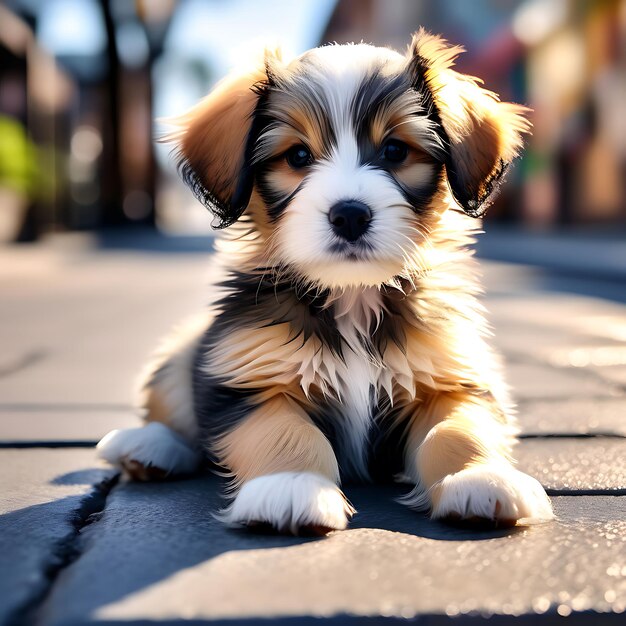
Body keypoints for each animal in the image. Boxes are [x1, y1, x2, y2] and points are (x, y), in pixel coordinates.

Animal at [97, 30, 552, 532]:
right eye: (297, 156)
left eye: (395, 151)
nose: (349, 215)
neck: (353, 300)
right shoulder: (252, 376)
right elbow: (284, 432)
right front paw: (291, 486)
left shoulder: (451, 377)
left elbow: (457, 430)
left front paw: (482, 477)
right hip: (187, 346)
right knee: (171, 401)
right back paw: (148, 446)